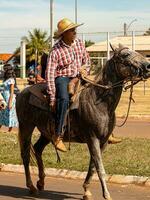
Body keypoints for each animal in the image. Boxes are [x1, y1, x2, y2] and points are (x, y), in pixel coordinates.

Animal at [15, 45, 150, 200]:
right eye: (126, 55)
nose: (147, 66)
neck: (99, 101)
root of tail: (23, 92)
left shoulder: (103, 141)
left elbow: (93, 166)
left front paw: (86, 190)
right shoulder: (92, 138)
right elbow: (99, 167)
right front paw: (106, 194)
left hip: (46, 133)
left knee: (37, 149)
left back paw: (41, 182)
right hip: (26, 126)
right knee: (25, 155)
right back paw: (31, 186)